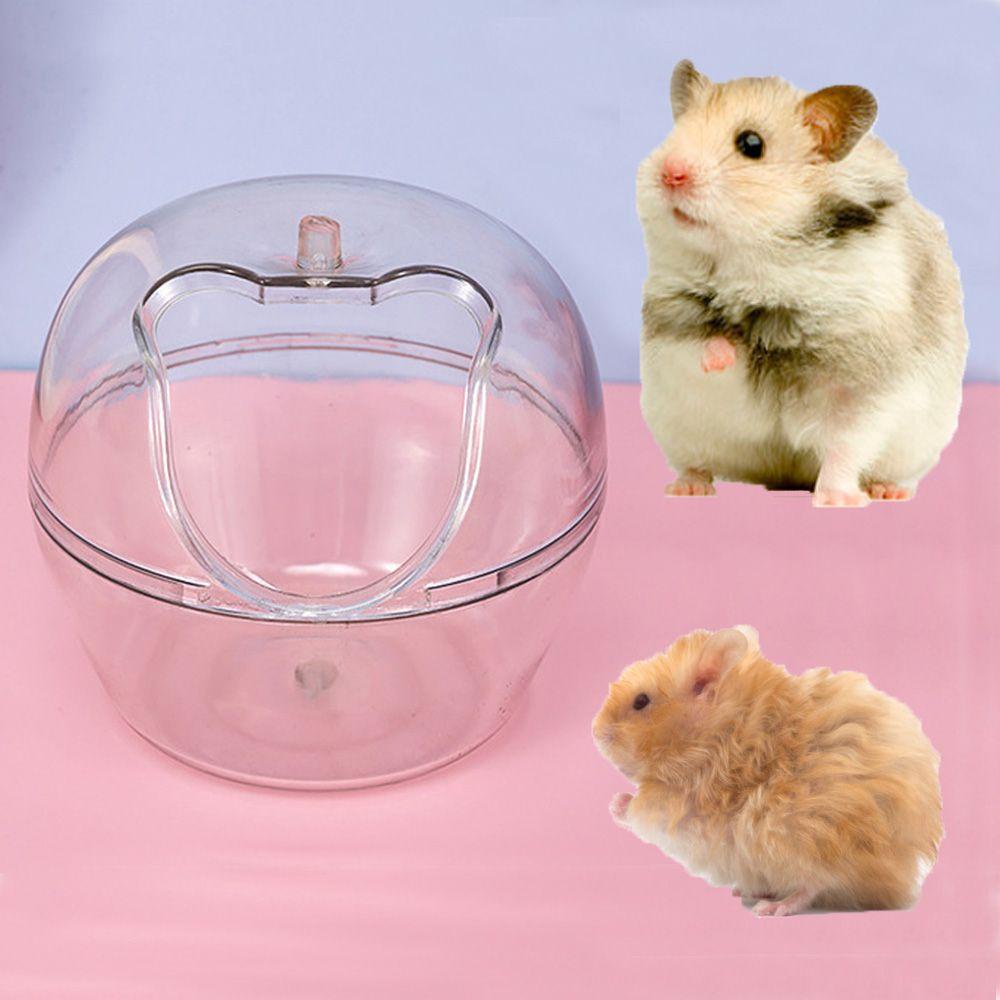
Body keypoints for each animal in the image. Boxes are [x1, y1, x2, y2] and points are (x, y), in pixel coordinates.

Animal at [592, 627, 943, 916]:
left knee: (816, 884)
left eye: (641, 701)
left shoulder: (676, 806)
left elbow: (638, 810)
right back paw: (751, 891)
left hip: (808, 835)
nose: (594, 731)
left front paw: (615, 802)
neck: (715, 736)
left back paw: (770, 907)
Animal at [637, 61, 968, 506]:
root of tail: (779, 475)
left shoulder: (857, 384)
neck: (760, 265)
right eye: (675, 132)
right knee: (696, 461)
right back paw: (687, 488)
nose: (670, 173)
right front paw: (724, 354)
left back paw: (887, 492)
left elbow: (845, 447)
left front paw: (837, 501)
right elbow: (699, 347)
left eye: (751, 144)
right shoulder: (671, 320)